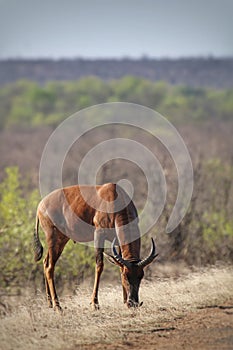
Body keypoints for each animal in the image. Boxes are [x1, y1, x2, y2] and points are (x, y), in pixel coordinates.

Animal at [33, 182, 157, 310]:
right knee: (50, 266)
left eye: (141, 276)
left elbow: (119, 265)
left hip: (61, 240)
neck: (114, 196)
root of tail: (40, 206)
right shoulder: (99, 233)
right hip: (54, 238)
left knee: (45, 262)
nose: (133, 303)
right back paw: (58, 307)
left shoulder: (117, 243)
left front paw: (123, 301)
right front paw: (94, 304)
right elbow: (99, 266)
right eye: (125, 276)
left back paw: (50, 304)